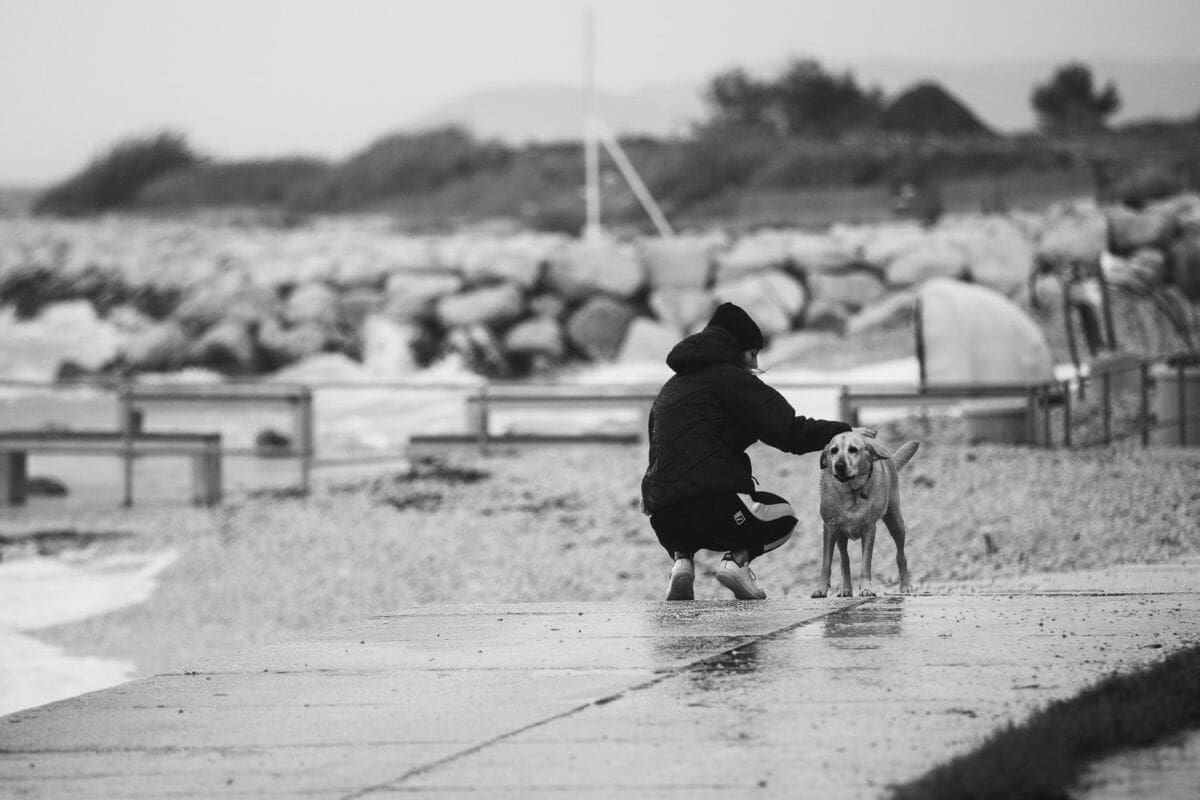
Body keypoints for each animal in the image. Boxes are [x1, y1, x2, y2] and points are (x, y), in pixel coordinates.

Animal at [812, 432, 919, 598]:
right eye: (834, 450)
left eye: (853, 449)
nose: (839, 466)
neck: (851, 491)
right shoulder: (829, 528)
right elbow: (826, 563)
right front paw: (821, 589)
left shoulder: (869, 529)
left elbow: (865, 563)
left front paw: (867, 588)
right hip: (840, 535)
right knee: (844, 559)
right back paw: (845, 589)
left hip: (896, 522)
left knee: (901, 556)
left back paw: (906, 586)